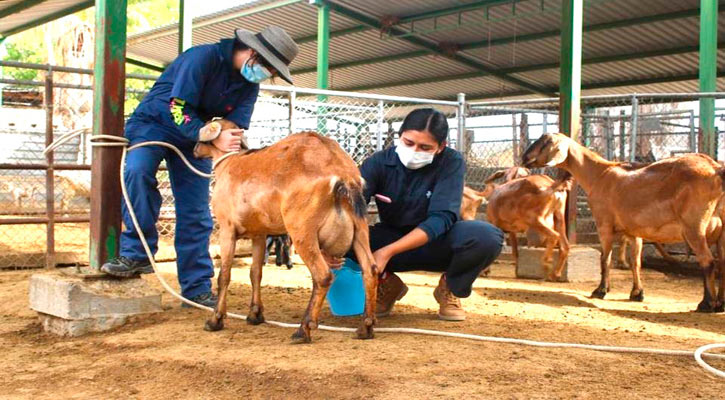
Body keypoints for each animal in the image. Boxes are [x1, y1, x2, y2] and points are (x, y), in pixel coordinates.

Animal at [197, 120, 378, 342]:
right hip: (360, 228)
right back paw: (365, 328)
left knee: (323, 276)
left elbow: (224, 275)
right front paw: (255, 315)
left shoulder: (227, 229)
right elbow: (255, 272)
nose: (195, 150)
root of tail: (342, 172)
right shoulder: (259, 234)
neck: (230, 163)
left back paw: (303, 329)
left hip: (302, 230)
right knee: (370, 270)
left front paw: (215, 320)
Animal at [524, 133, 724, 310]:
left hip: (694, 227)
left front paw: (600, 290)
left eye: (545, 142)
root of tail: (716, 170)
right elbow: (635, 262)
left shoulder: (603, 224)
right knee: (721, 263)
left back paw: (706, 304)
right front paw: (637, 293)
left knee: (708, 261)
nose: (525, 157)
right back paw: (720, 304)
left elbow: (605, 258)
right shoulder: (635, 231)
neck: (599, 173)